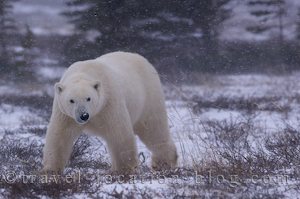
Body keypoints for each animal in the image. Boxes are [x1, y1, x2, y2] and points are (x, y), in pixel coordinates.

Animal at [42, 52, 178, 173]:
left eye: (88, 98)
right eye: (71, 100)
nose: (84, 115)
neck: (84, 72)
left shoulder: (109, 102)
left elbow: (119, 134)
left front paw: (125, 170)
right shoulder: (65, 114)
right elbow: (60, 135)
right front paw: (50, 171)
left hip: (148, 97)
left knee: (153, 129)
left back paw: (163, 163)